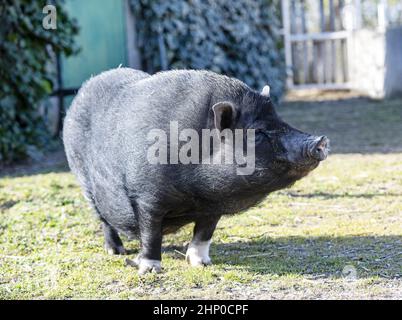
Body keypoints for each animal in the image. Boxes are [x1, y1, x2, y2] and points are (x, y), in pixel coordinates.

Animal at [63, 69, 330, 274]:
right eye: (257, 132)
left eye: (282, 122)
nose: (321, 139)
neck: (196, 193)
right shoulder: (147, 198)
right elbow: (150, 233)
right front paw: (150, 270)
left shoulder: (212, 207)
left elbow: (204, 234)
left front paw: (202, 264)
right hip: (84, 181)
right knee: (103, 219)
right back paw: (115, 251)